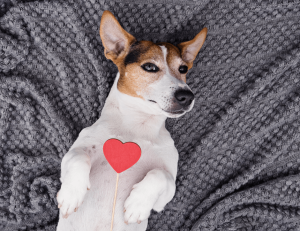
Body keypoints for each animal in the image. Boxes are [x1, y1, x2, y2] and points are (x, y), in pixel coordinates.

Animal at [55, 9, 206, 230]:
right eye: (150, 67)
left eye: (183, 69)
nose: (187, 96)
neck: (138, 126)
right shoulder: (70, 157)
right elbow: (79, 158)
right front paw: (71, 195)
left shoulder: (166, 195)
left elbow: (159, 175)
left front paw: (137, 205)